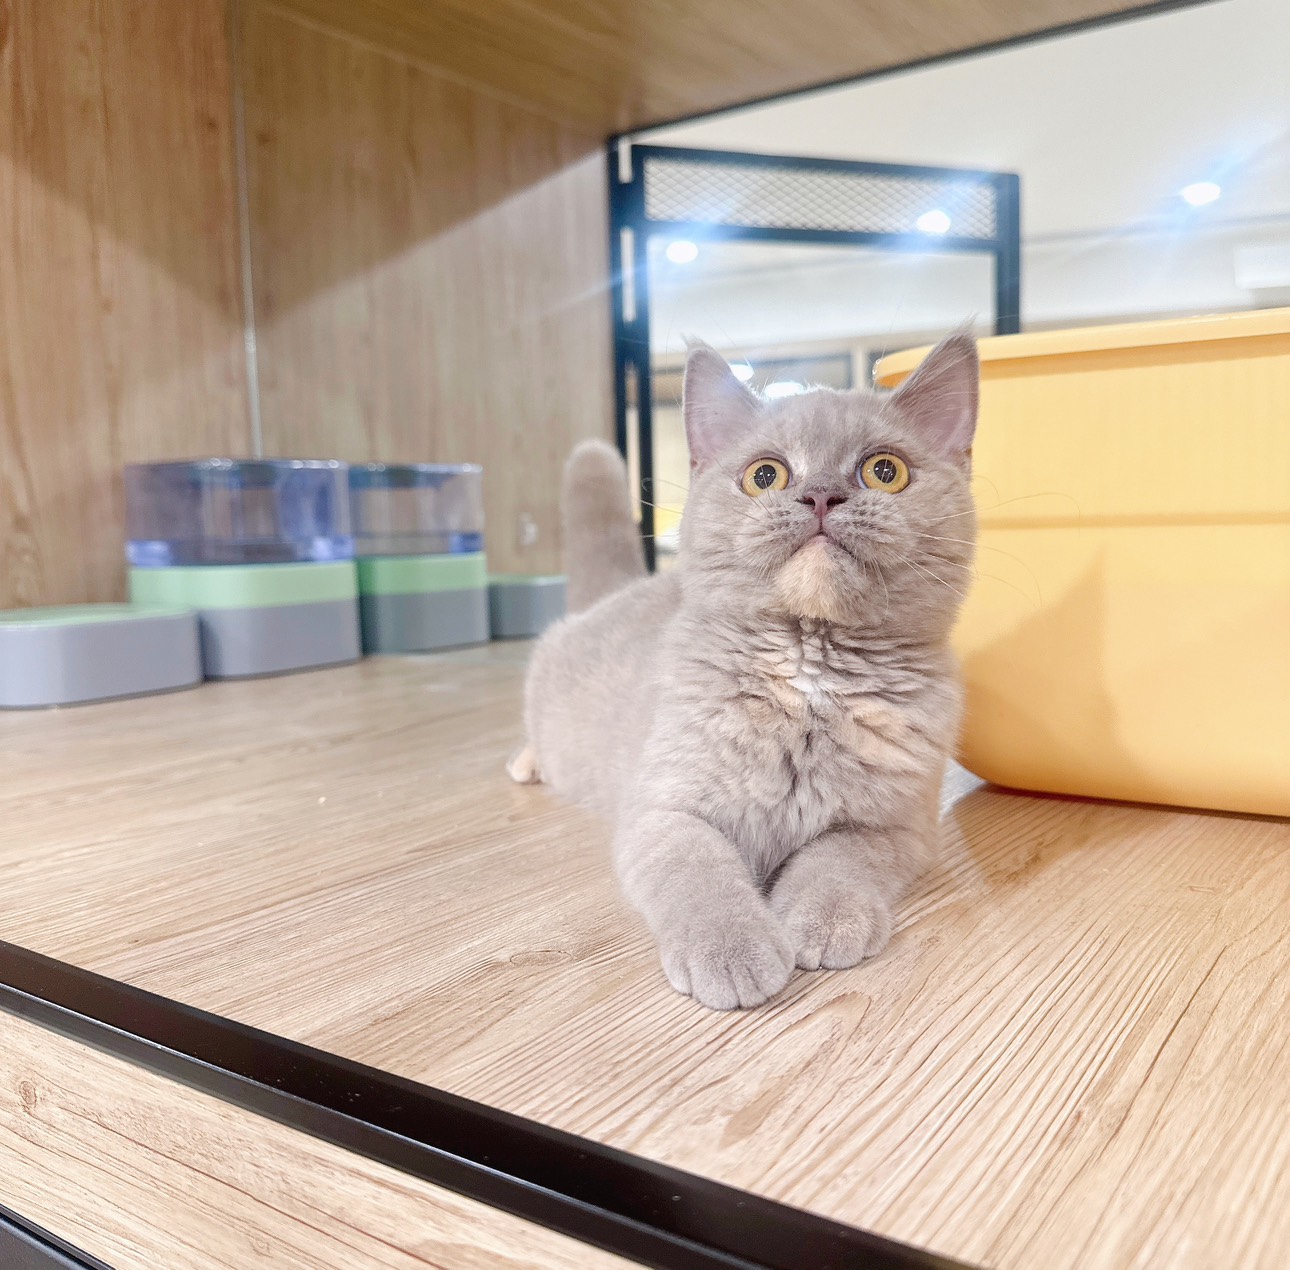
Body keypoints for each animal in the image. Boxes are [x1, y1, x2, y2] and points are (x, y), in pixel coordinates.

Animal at [510, 333, 979, 1010]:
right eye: (765, 476)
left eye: (884, 472)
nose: (820, 495)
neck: (811, 671)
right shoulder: (663, 810)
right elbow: (698, 870)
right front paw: (733, 950)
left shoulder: (896, 826)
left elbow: (839, 860)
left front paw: (823, 920)